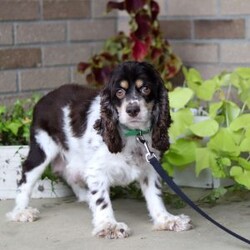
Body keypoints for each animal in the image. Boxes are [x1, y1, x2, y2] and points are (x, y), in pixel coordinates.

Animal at [7, 60, 191, 238]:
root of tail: (42, 99)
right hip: (43, 148)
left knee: (69, 174)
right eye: (119, 92)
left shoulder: (150, 168)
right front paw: (109, 225)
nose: (132, 109)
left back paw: (85, 196)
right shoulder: (96, 170)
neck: (133, 134)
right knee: (26, 174)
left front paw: (167, 220)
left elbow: (155, 196)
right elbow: (102, 201)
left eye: (146, 89)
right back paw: (21, 212)